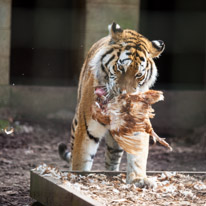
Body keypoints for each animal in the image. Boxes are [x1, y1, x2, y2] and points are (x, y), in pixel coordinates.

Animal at [58, 22, 165, 188]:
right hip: (76, 123)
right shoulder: (86, 128)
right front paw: (77, 178)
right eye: (120, 68)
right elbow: (81, 159)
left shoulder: (138, 123)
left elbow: (137, 157)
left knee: (112, 158)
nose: (126, 95)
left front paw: (139, 179)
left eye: (139, 75)